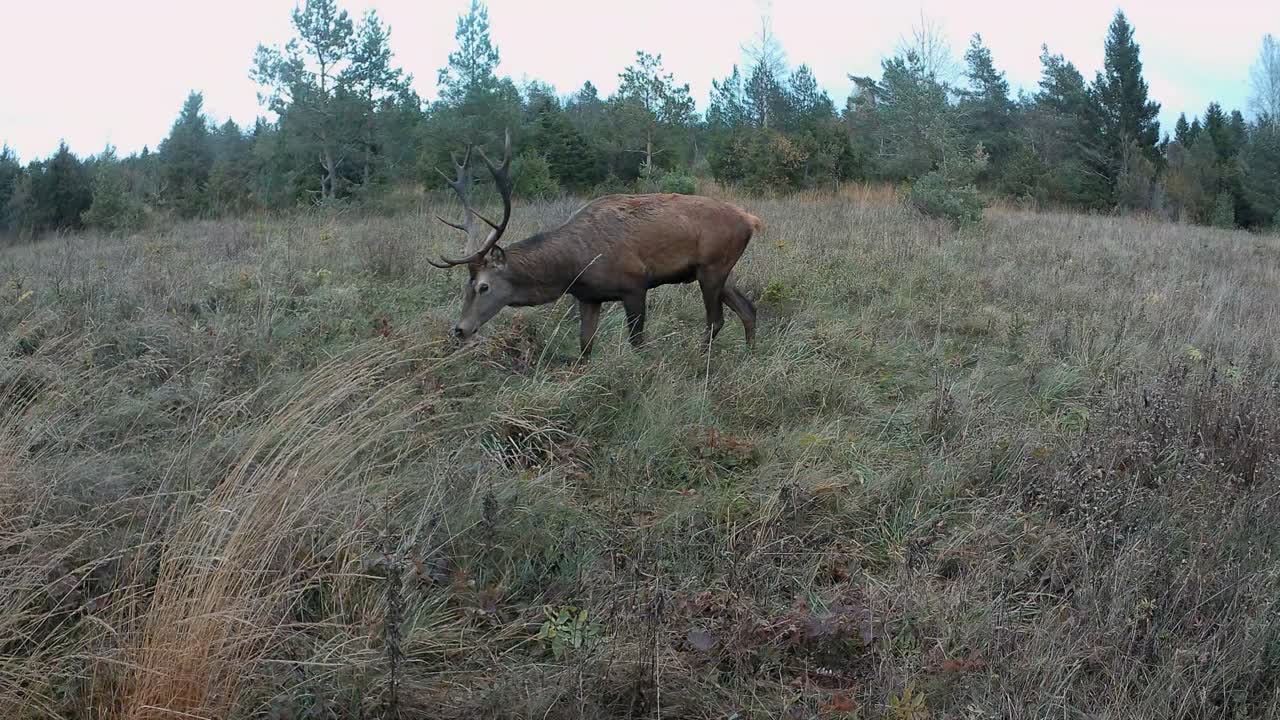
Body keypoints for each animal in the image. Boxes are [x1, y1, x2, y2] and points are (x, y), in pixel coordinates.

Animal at [427, 130, 762, 359]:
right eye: (466, 286)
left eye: (483, 286)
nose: (460, 329)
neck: (574, 267)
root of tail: (751, 219)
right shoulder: (588, 297)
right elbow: (585, 345)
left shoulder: (634, 284)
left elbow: (637, 342)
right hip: (718, 271)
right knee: (748, 309)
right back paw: (749, 356)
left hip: (712, 267)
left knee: (716, 320)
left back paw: (700, 359)